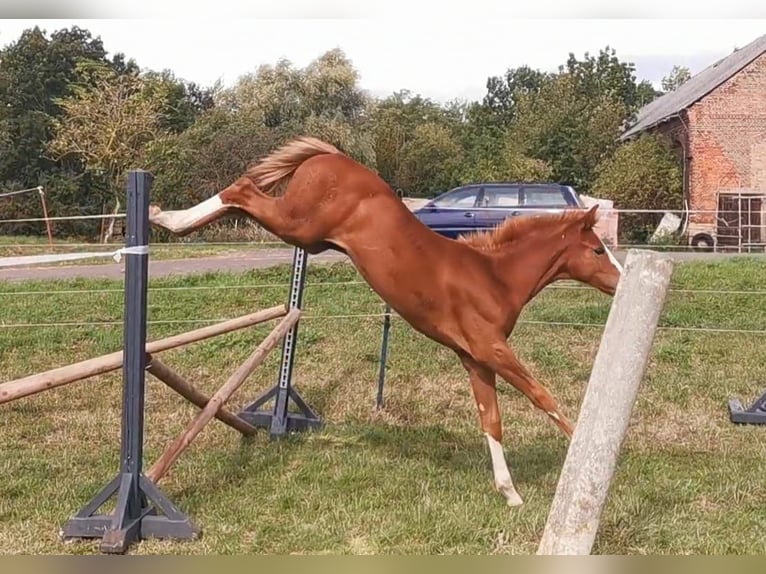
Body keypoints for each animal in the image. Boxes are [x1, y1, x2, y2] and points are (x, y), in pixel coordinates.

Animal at [148, 136, 623, 507]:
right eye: (597, 249)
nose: (621, 282)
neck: (493, 278)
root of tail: (331, 155)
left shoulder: (475, 358)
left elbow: (491, 419)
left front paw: (510, 493)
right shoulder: (492, 348)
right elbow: (542, 396)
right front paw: (585, 450)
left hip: (307, 237)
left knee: (240, 201)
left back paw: (169, 220)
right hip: (299, 226)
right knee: (243, 191)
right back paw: (162, 216)